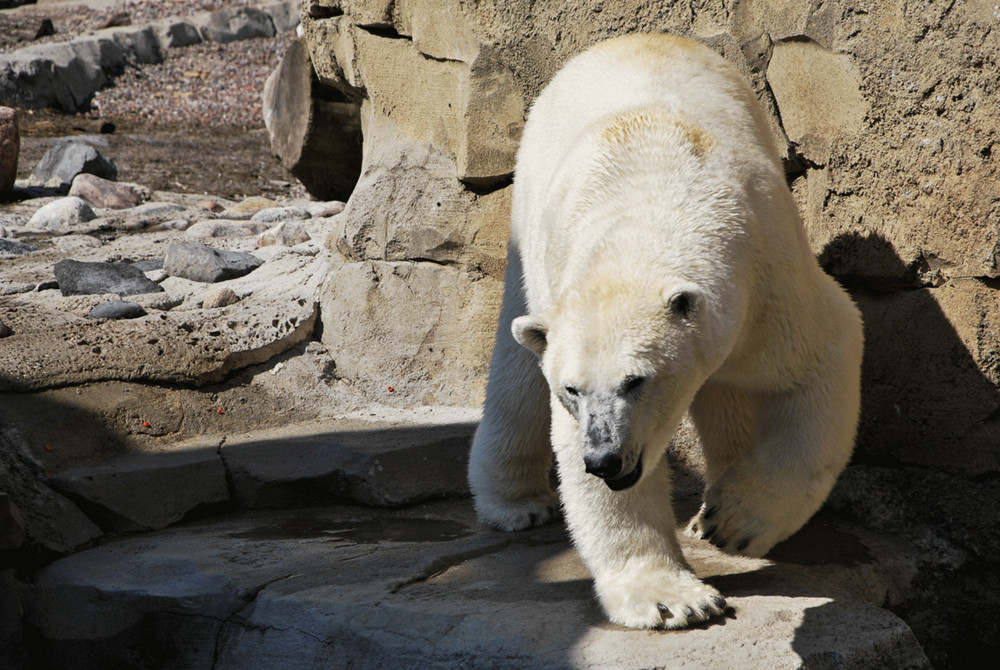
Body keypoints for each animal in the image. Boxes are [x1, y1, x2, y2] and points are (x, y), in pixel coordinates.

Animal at [464, 32, 864, 632]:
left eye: (637, 381)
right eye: (573, 390)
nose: (605, 460)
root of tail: (628, 38)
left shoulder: (765, 278)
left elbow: (821, 356)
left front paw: (735, 520)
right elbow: (572, 446)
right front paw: (673, 599)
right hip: (527, 221)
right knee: (517, 365)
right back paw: (516, 504)